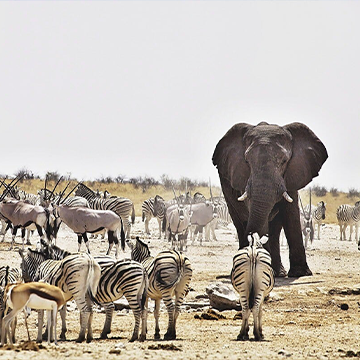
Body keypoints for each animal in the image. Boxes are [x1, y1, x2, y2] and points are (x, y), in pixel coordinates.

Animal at [212, 122, 328, 278]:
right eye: (247, 161)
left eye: (284, 161)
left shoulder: (292, 175)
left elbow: (291, 214)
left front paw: (301, 274)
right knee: (240, 223)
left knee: (274, 229)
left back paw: (278, 272)